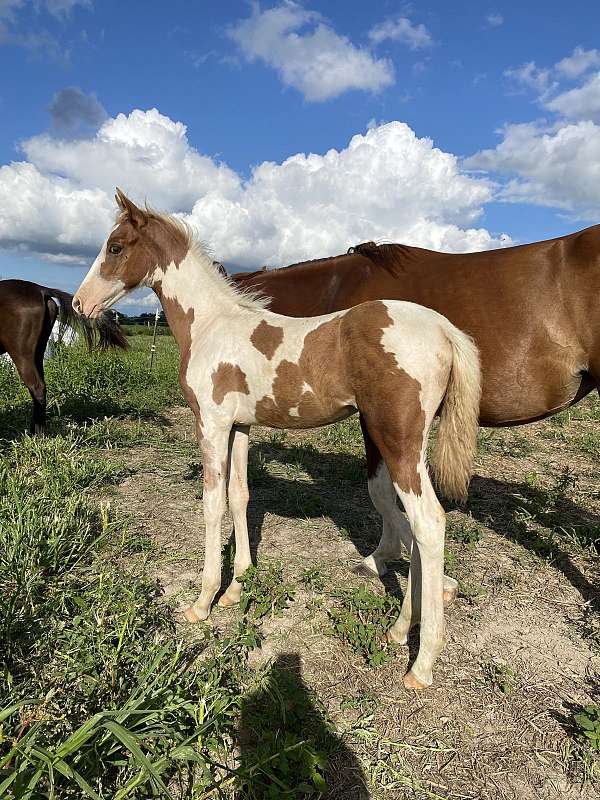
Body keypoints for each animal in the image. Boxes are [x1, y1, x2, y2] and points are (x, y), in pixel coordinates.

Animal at [75, 192, 480, 688]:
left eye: (115, 246)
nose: (79, 303)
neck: (211, 325)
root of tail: (444, 329)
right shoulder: (240, 427)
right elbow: (240, 496)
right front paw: (237, 586)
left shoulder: (211, 423)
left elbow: (212, 504)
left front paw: (203, 601)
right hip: (408, 444)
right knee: (421, 529)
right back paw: (401, 630)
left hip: (397, 439)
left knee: (428, 523)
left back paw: (421, 663)